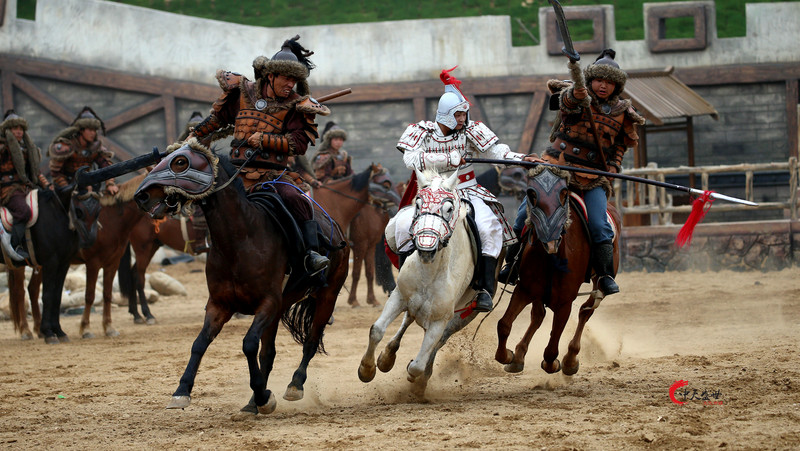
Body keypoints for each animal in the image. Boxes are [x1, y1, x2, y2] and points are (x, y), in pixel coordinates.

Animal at [135, 142, 350, 416]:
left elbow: (248, 344)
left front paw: (262, 395)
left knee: (309, 343)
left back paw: (294, 385)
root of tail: (337, 228)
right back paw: (252, 402)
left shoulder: (267, 303)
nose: (141, 196)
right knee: (268, 353)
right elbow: (200, 343)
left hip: (327, 296)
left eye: (180, 162)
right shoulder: (220, 305)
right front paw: (181, 391)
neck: (240, 240)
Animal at [358, 169, 482, 396]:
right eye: (417, 204)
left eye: (449, 208)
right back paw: (387, 357)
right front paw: (367, 369)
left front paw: (415, 376)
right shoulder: (399, 296)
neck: (430, 274)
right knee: (408, 319)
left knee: (438, 341)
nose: (426, 247)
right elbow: (377, 330)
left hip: (464, 315)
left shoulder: (440, 320)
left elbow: (417, 364)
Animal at [494, 168, 620, 376]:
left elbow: (551, 350)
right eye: (532, 195)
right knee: (538, 316)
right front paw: (509, 356)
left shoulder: (564, 303)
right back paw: (520, 355)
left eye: (562, 197)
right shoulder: (524, 289)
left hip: (599, 283)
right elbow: (504, 324)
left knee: (585, 311)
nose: (550, 242)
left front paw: (555, 363)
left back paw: (570, 359)